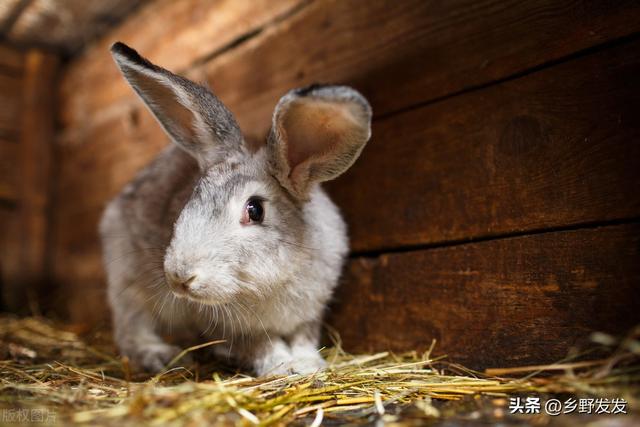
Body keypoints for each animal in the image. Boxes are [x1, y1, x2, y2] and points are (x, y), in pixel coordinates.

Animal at [97, 42, 372, 378]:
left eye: (255, 210)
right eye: (193, 196)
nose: (179, 277)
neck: (268, 284)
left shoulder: (310, 314)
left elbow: (304, 338)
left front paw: (308, 364)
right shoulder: (234, 329)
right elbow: (261, 345)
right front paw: (281, 366)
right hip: (128, 281)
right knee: (131, 326)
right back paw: (159, 354)